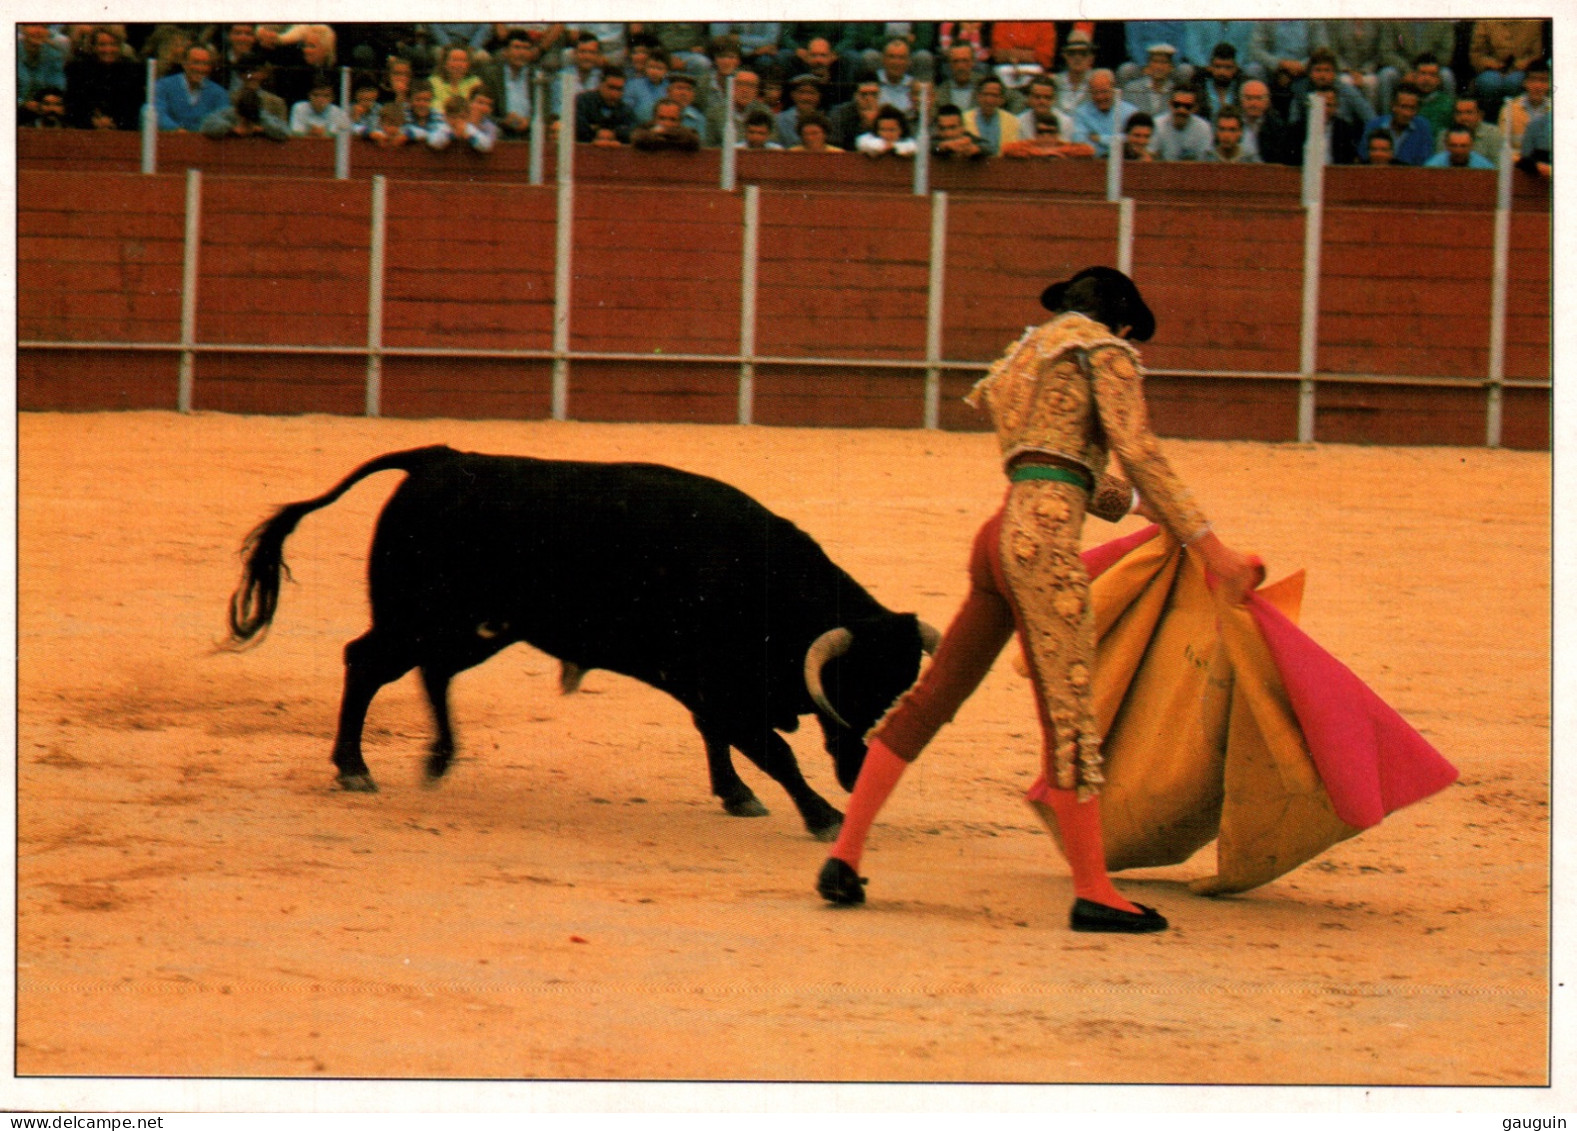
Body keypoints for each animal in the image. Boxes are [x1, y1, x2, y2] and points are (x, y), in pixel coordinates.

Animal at [223, 441, 933, 839]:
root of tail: (440, 459)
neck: (762, 582)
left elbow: (722, 740)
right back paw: (354, 768)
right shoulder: (717, 687)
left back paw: (437, 758)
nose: (864, 773)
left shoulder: (707, 690)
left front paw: (738, 797)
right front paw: (822, 817)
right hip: (416, 617)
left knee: (430, 673)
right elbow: (771, 752)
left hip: (476, 630)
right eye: (859, 686)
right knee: (366, 663)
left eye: (905, 685)